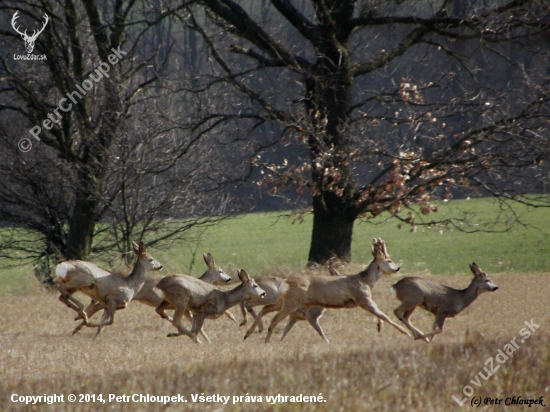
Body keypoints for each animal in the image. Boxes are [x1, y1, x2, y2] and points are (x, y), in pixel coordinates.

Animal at [246, 240, 410, 342]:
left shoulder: (364, 300)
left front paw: (379, 328)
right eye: (388, 260)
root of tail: (285, 282)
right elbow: (384, 315)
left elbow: (380, 315)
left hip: (285, 301)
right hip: (292, 302)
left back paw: (248, 333)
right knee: (273, 319)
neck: (366, 281)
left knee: (266, 309)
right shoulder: (362, 298)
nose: (397, 268)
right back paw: (265, 341)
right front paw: (406, 333)